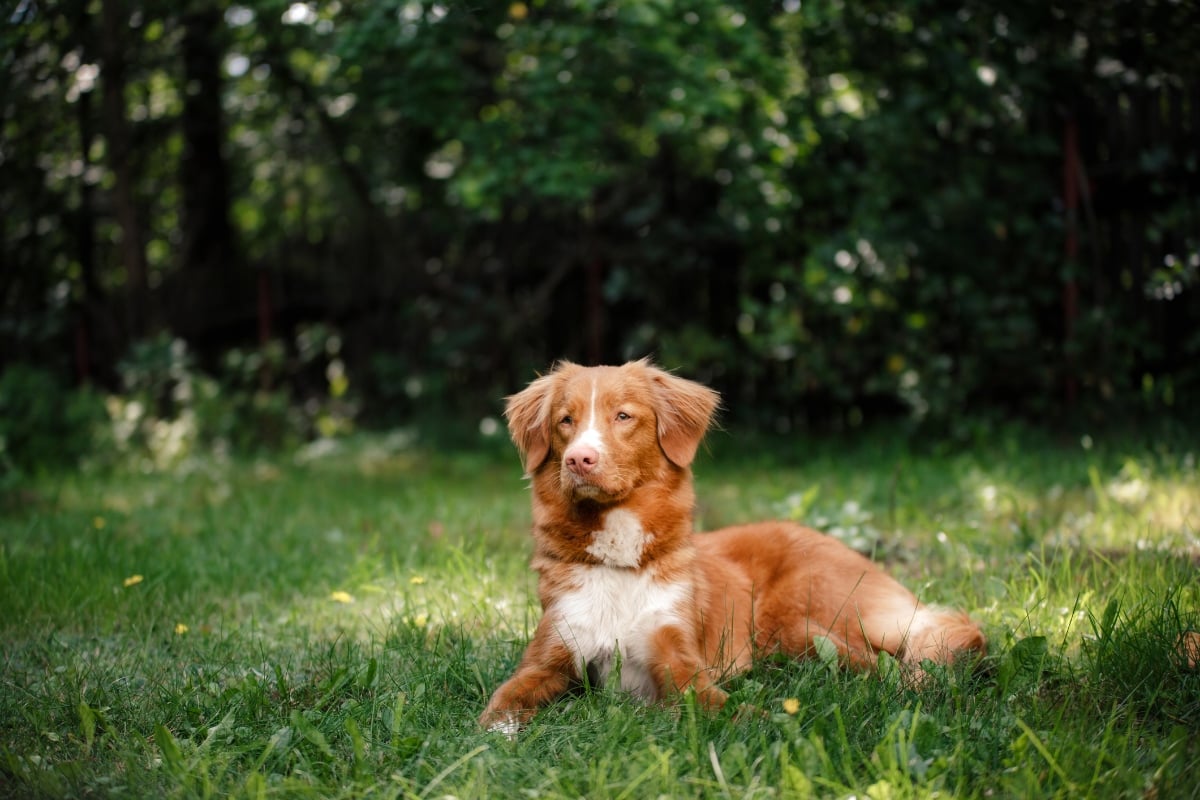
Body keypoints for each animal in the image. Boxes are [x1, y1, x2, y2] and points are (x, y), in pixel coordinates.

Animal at [477, 359, 984, 734]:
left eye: (623, 416)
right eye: (565, 421)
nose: (578, 459)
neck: (620, 562)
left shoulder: (677, 655)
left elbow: (711, 701)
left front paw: (761, 721)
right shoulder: (549, 656)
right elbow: (505, 697)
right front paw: (493, 735)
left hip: (800, 618)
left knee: (896, 654)